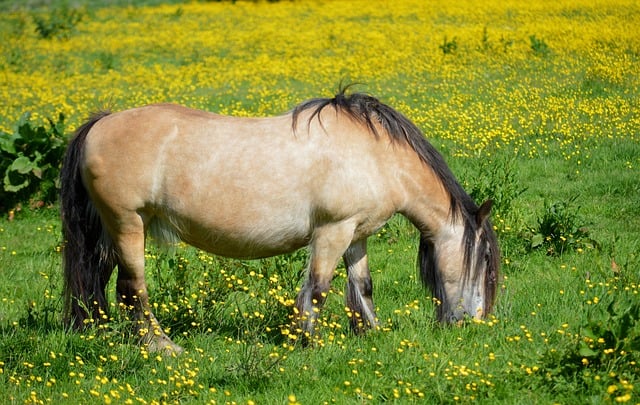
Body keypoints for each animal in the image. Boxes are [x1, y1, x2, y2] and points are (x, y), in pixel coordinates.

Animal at [60, 90, 500, 352]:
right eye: (483, 263)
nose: (475, 322)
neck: (376, 155)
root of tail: (101, 122)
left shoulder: (355, 234)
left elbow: (362, 286)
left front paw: (371, 333)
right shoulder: (332, 231)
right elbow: (318, 288)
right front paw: (305, 341)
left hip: (111, 231)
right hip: (127, 224)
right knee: (132, 289)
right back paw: (162, 347)